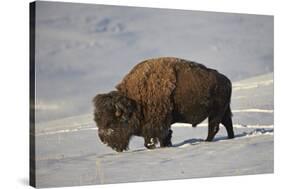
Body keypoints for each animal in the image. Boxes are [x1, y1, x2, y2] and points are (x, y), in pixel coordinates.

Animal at [93, 56, 233, 151]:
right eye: (97, 120)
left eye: (110, 122)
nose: (103, 139)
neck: (134, 102)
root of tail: (226, 80)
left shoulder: (157, 125)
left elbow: (154, 139)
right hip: (223, 111)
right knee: (227, 123)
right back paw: (230, 138)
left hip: (216, 112)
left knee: (214, 127)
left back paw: (207, 142)